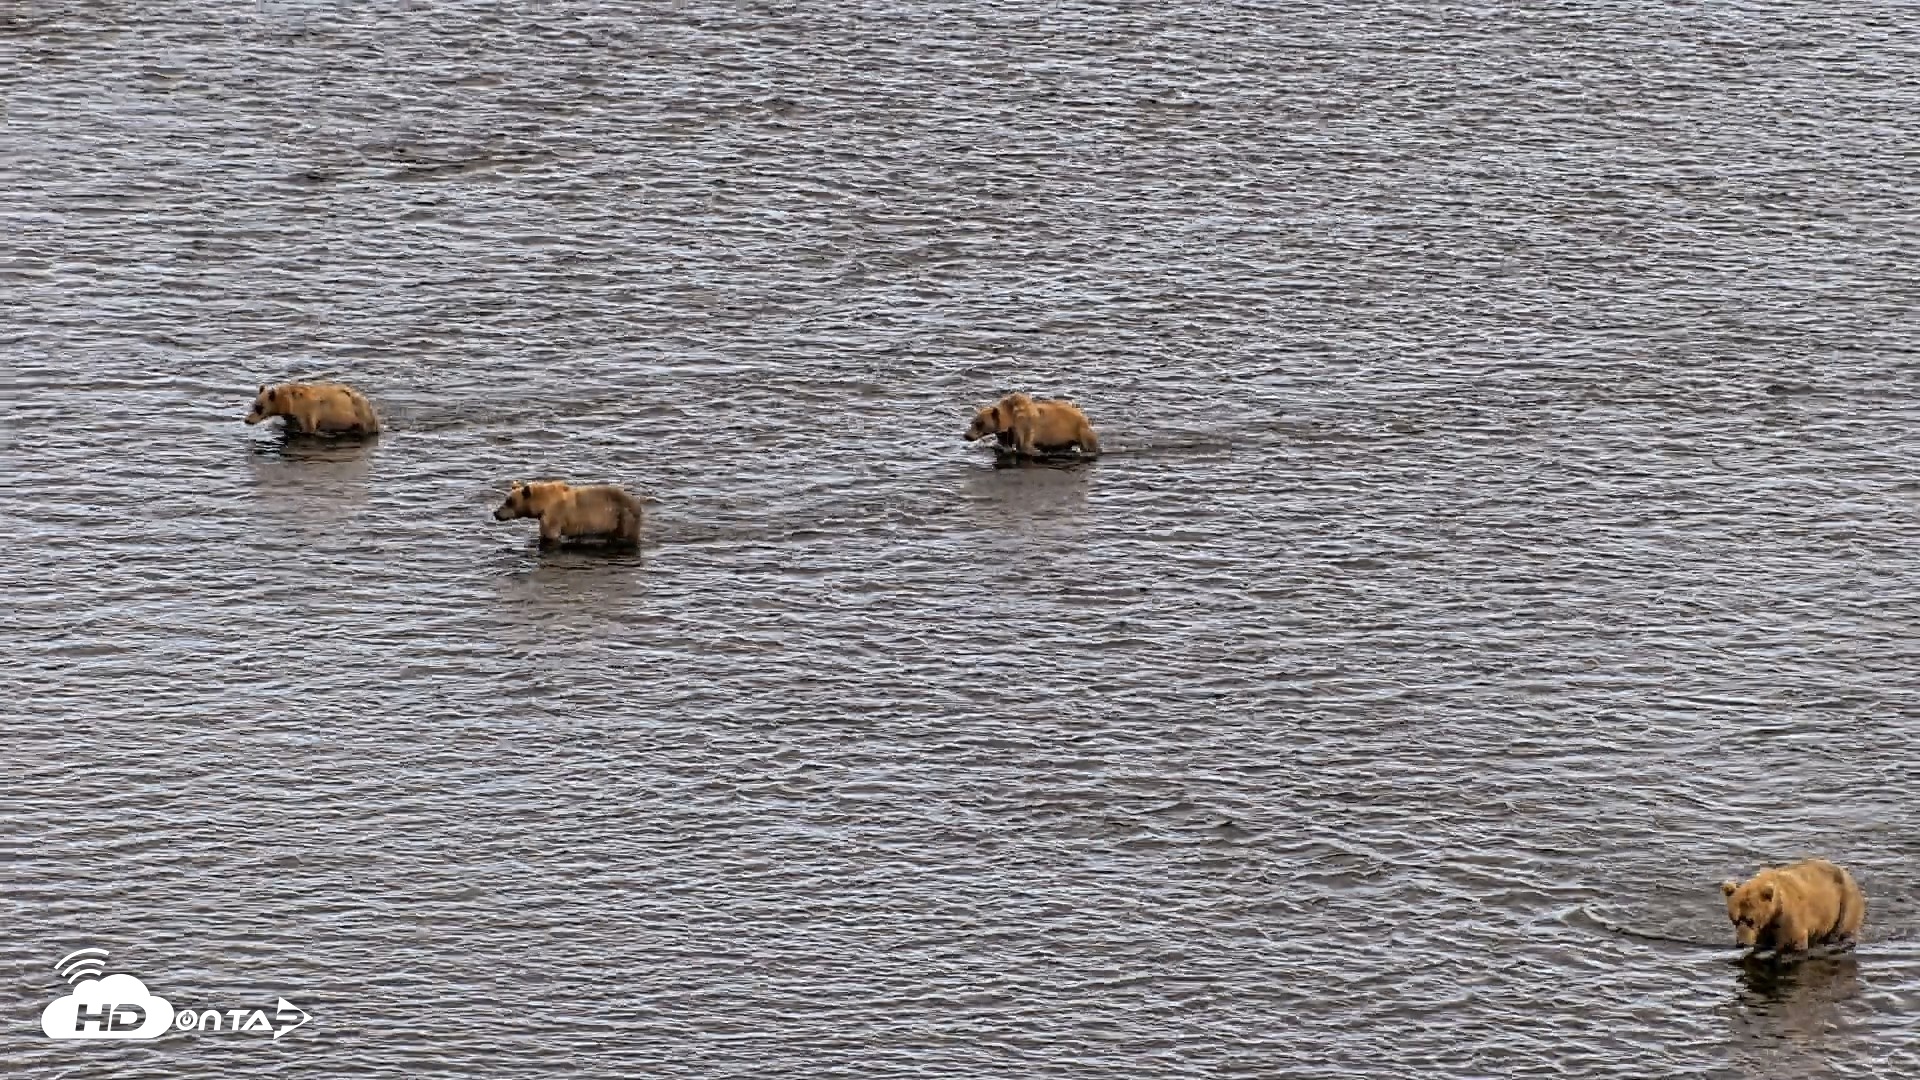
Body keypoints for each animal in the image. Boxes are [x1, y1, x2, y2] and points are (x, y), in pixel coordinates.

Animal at [244, 382, 381, 436]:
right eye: (253, 405)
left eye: (259, 407)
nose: (247, 420)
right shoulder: (291, 417)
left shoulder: (307, 412)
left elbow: (308, 428)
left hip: (360, 415)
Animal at [492, 480, 645, 549]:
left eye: (509, 501)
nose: (496, 512)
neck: (542, 503)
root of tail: (638, 503)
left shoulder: (553, 516)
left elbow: (550, 536)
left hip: (622, 517)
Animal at [964, 392, 1100, 458]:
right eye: (972, 422)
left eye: (980, 423)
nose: (967, 435)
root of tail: (1081, 413)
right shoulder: (1005, 432)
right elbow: (1004, 445)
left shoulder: (1025, 425)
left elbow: (1025, 447)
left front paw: (1035, 451)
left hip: (1080, 430)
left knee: (1089, 445)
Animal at [1720, 858, 1866, 955]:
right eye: (1734, 920)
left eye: (1750, 920)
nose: (1741, 943)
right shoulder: (1764, 930)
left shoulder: (1790, 919)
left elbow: (1793, 943)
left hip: (1845, 904)